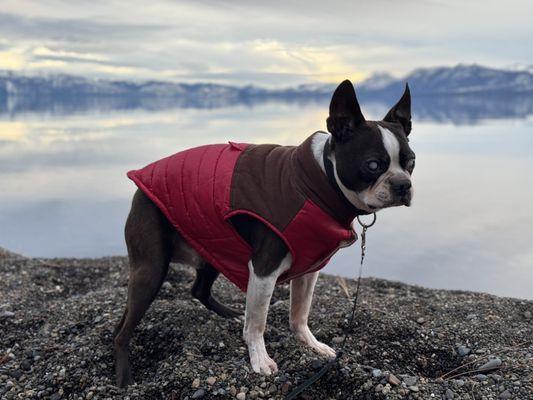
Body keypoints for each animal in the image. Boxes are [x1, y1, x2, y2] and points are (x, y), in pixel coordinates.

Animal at [112, 79, 414, 388]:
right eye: (372, 165)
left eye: (410, 162)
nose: (403, 184)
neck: (322, 181)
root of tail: (141, 179)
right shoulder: (264, 269)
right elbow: (257, 323)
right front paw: (259, 359)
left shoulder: (309, 268)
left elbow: (300, 313)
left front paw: (311, 345)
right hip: (153, 266)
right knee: (124, 330)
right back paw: (124, 375)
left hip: (213, 243)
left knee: (197, 289)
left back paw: (228, 315)